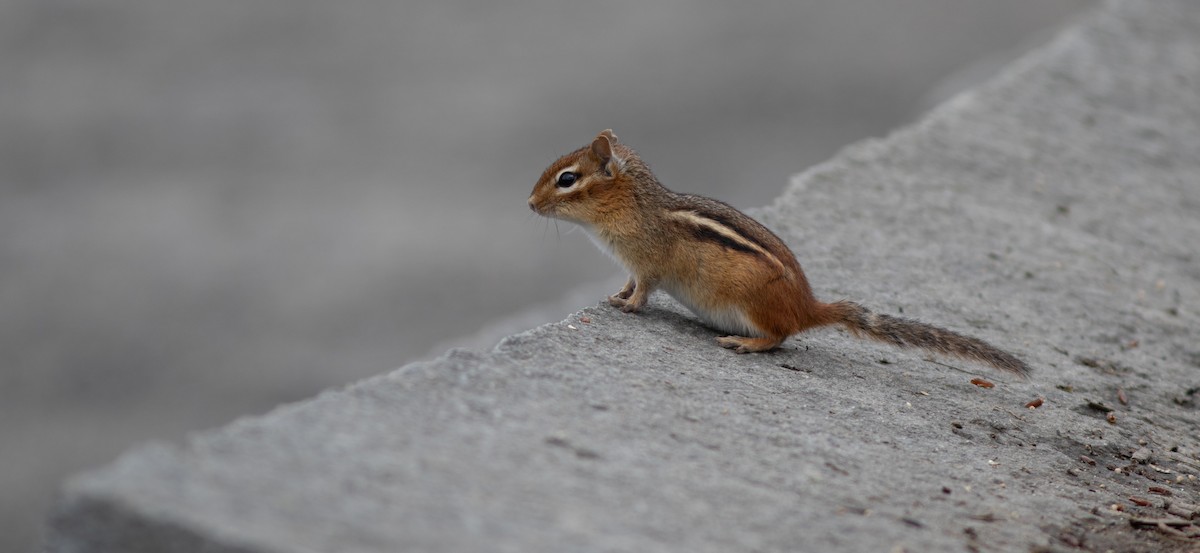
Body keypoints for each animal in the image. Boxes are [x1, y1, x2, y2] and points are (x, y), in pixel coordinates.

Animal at [528, 130, 1030, 377]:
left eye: (567, 179)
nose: (529, 204)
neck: (634, 206)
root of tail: (808, 307)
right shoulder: (632, 265)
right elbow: (628, 282)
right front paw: (615, 296)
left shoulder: (648, 262)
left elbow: (644, 290)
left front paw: (628, 306)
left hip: (750, 305)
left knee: (778, 337)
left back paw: (744, 343)